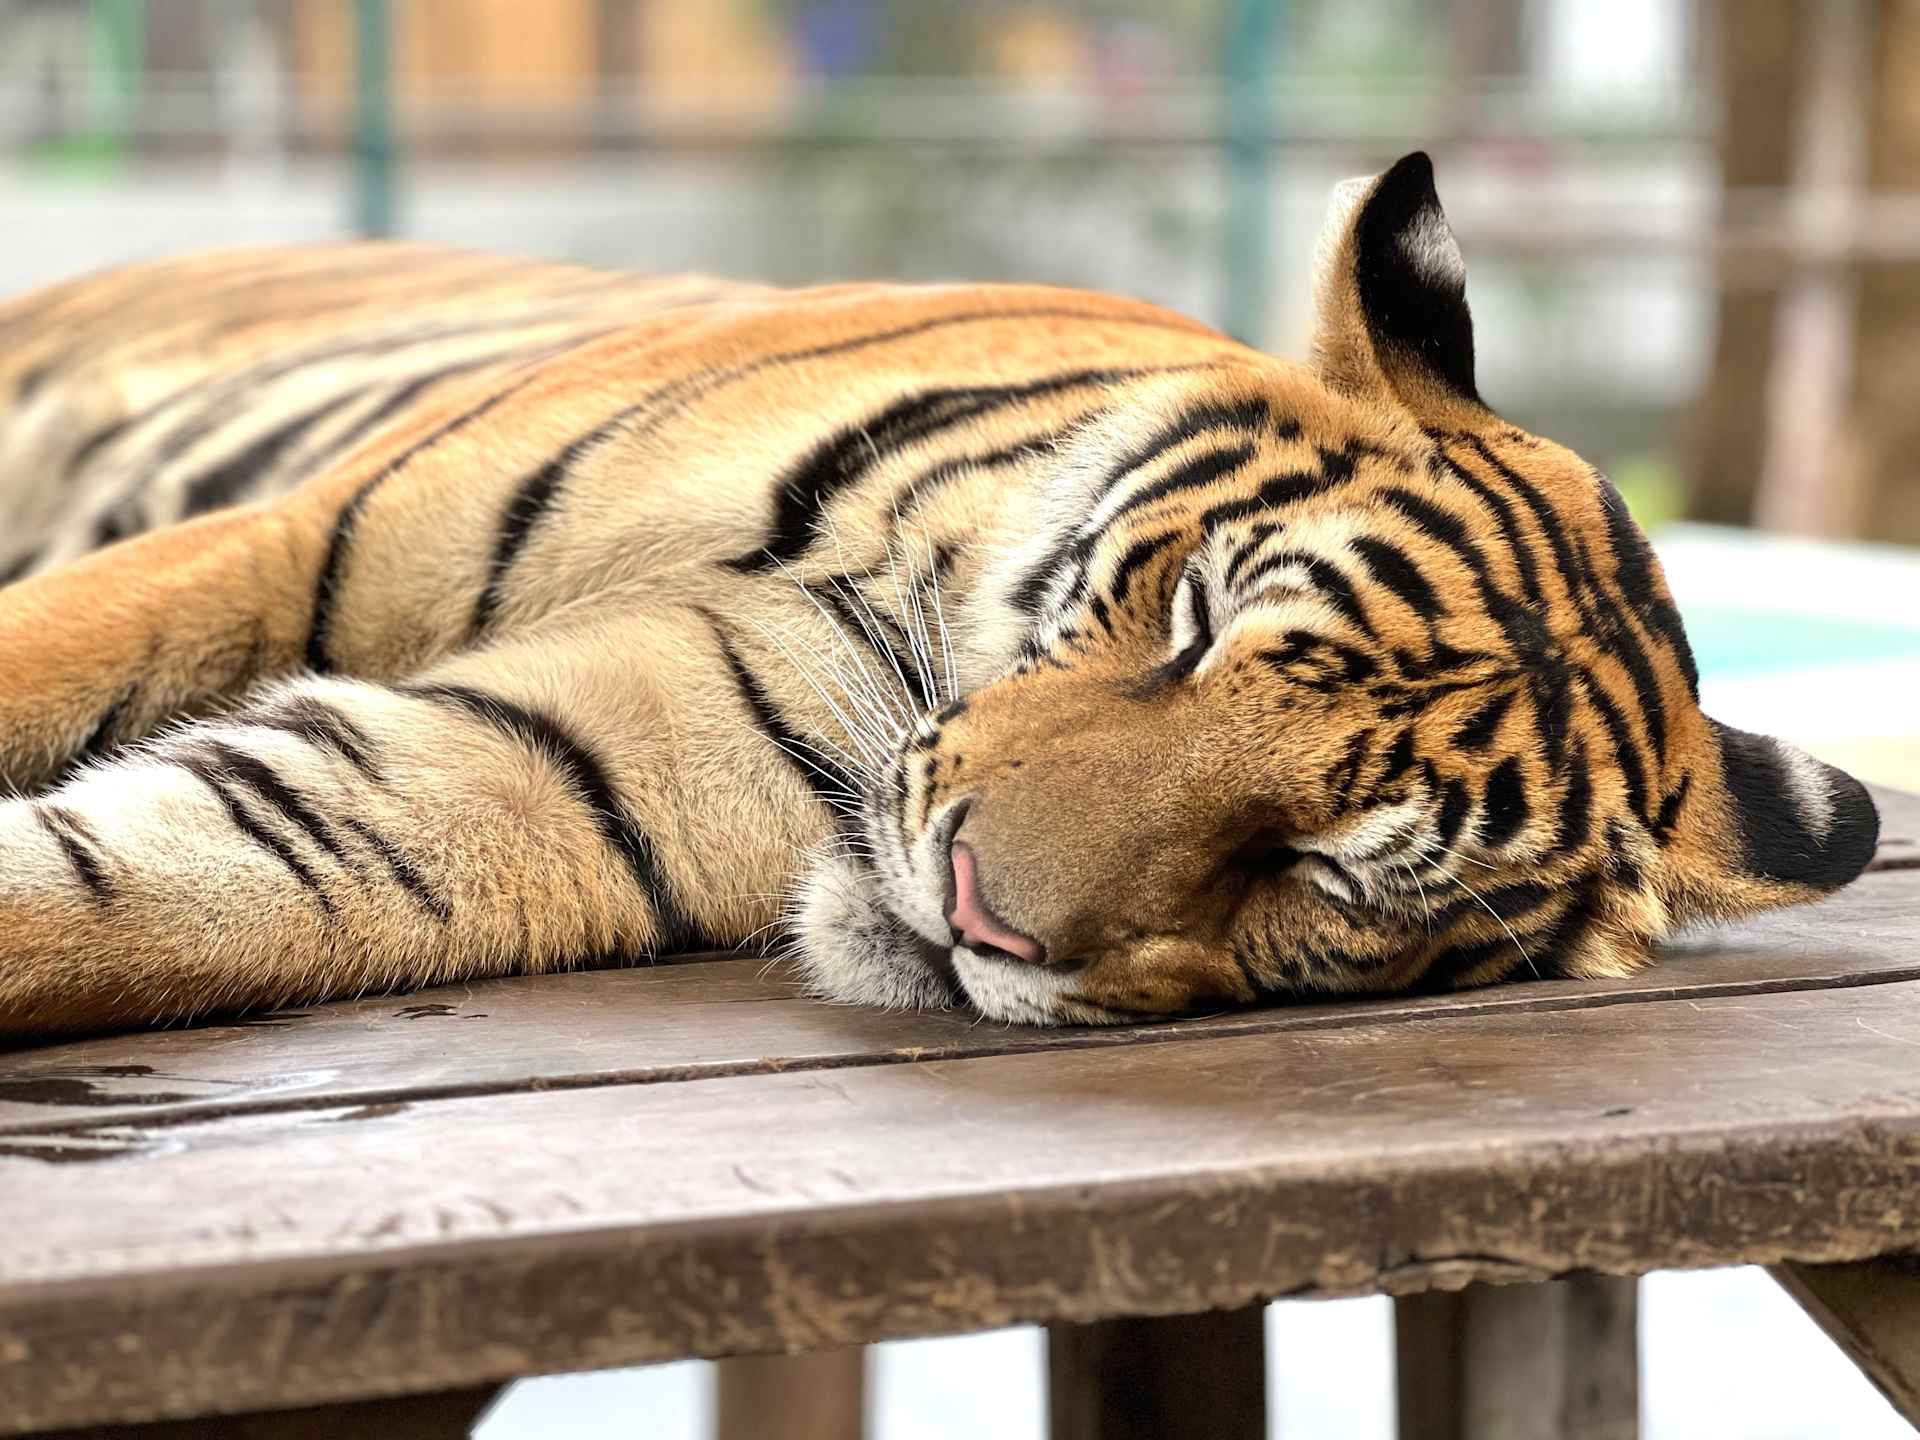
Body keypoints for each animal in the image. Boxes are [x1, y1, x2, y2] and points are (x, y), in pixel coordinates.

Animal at [0, 151, 1879, 1038]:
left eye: (1328, 874)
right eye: (1197, 622)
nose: (979, 912)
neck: (908, 612)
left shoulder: (525, 782)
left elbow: (148, 887)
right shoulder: (285, 538)